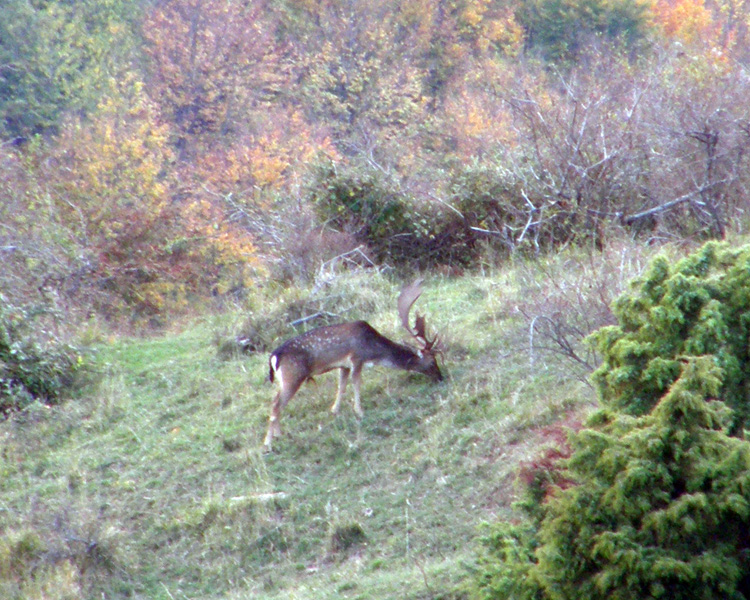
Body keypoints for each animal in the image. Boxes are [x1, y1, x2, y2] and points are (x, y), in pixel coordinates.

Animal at [264, 280, 444, 450]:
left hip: (284, 380)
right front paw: (359, 412)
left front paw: (334, 410)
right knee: (275, 405)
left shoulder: (343, 365)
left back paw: (278, 434)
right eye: (432, 362)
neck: (373, 351)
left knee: (277, 402)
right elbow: (356, 383)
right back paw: (268, 443)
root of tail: (274, 356)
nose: (441, 377)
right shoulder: (356, 358)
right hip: (293, 376)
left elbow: (342, 386)